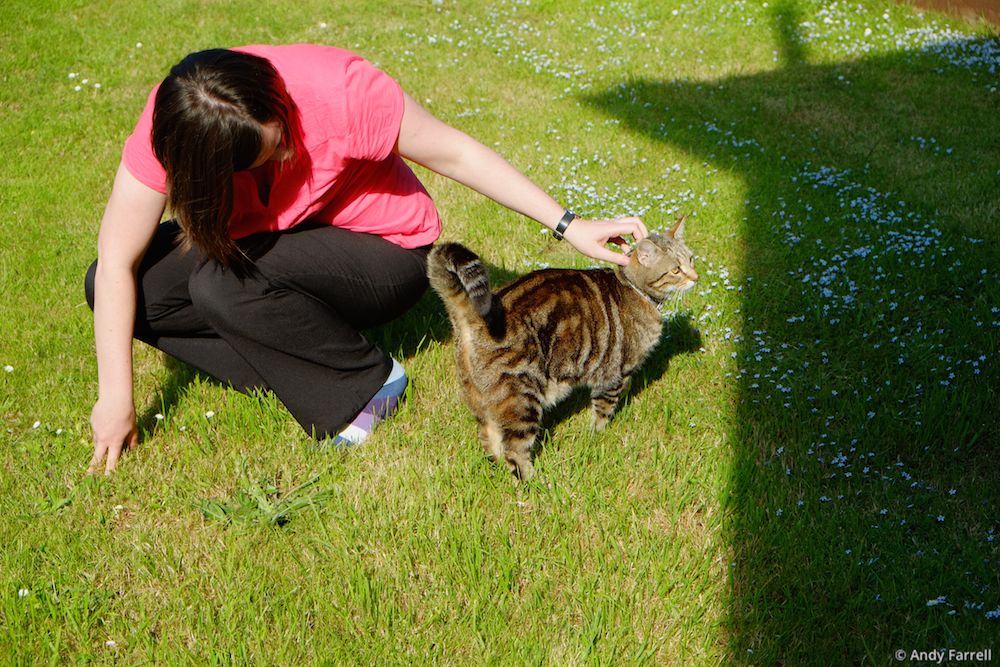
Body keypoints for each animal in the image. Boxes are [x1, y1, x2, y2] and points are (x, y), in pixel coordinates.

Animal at [426, 218, 700, 480]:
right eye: (676, 270)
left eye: (691, 259)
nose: (696, 278)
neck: (635, 289)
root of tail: (474, 316)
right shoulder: (613, 374)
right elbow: (603, 412)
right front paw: (598, 435)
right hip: (521, 399)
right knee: (515, 451)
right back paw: (535, 483)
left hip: (483, 400)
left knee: (490, 441)